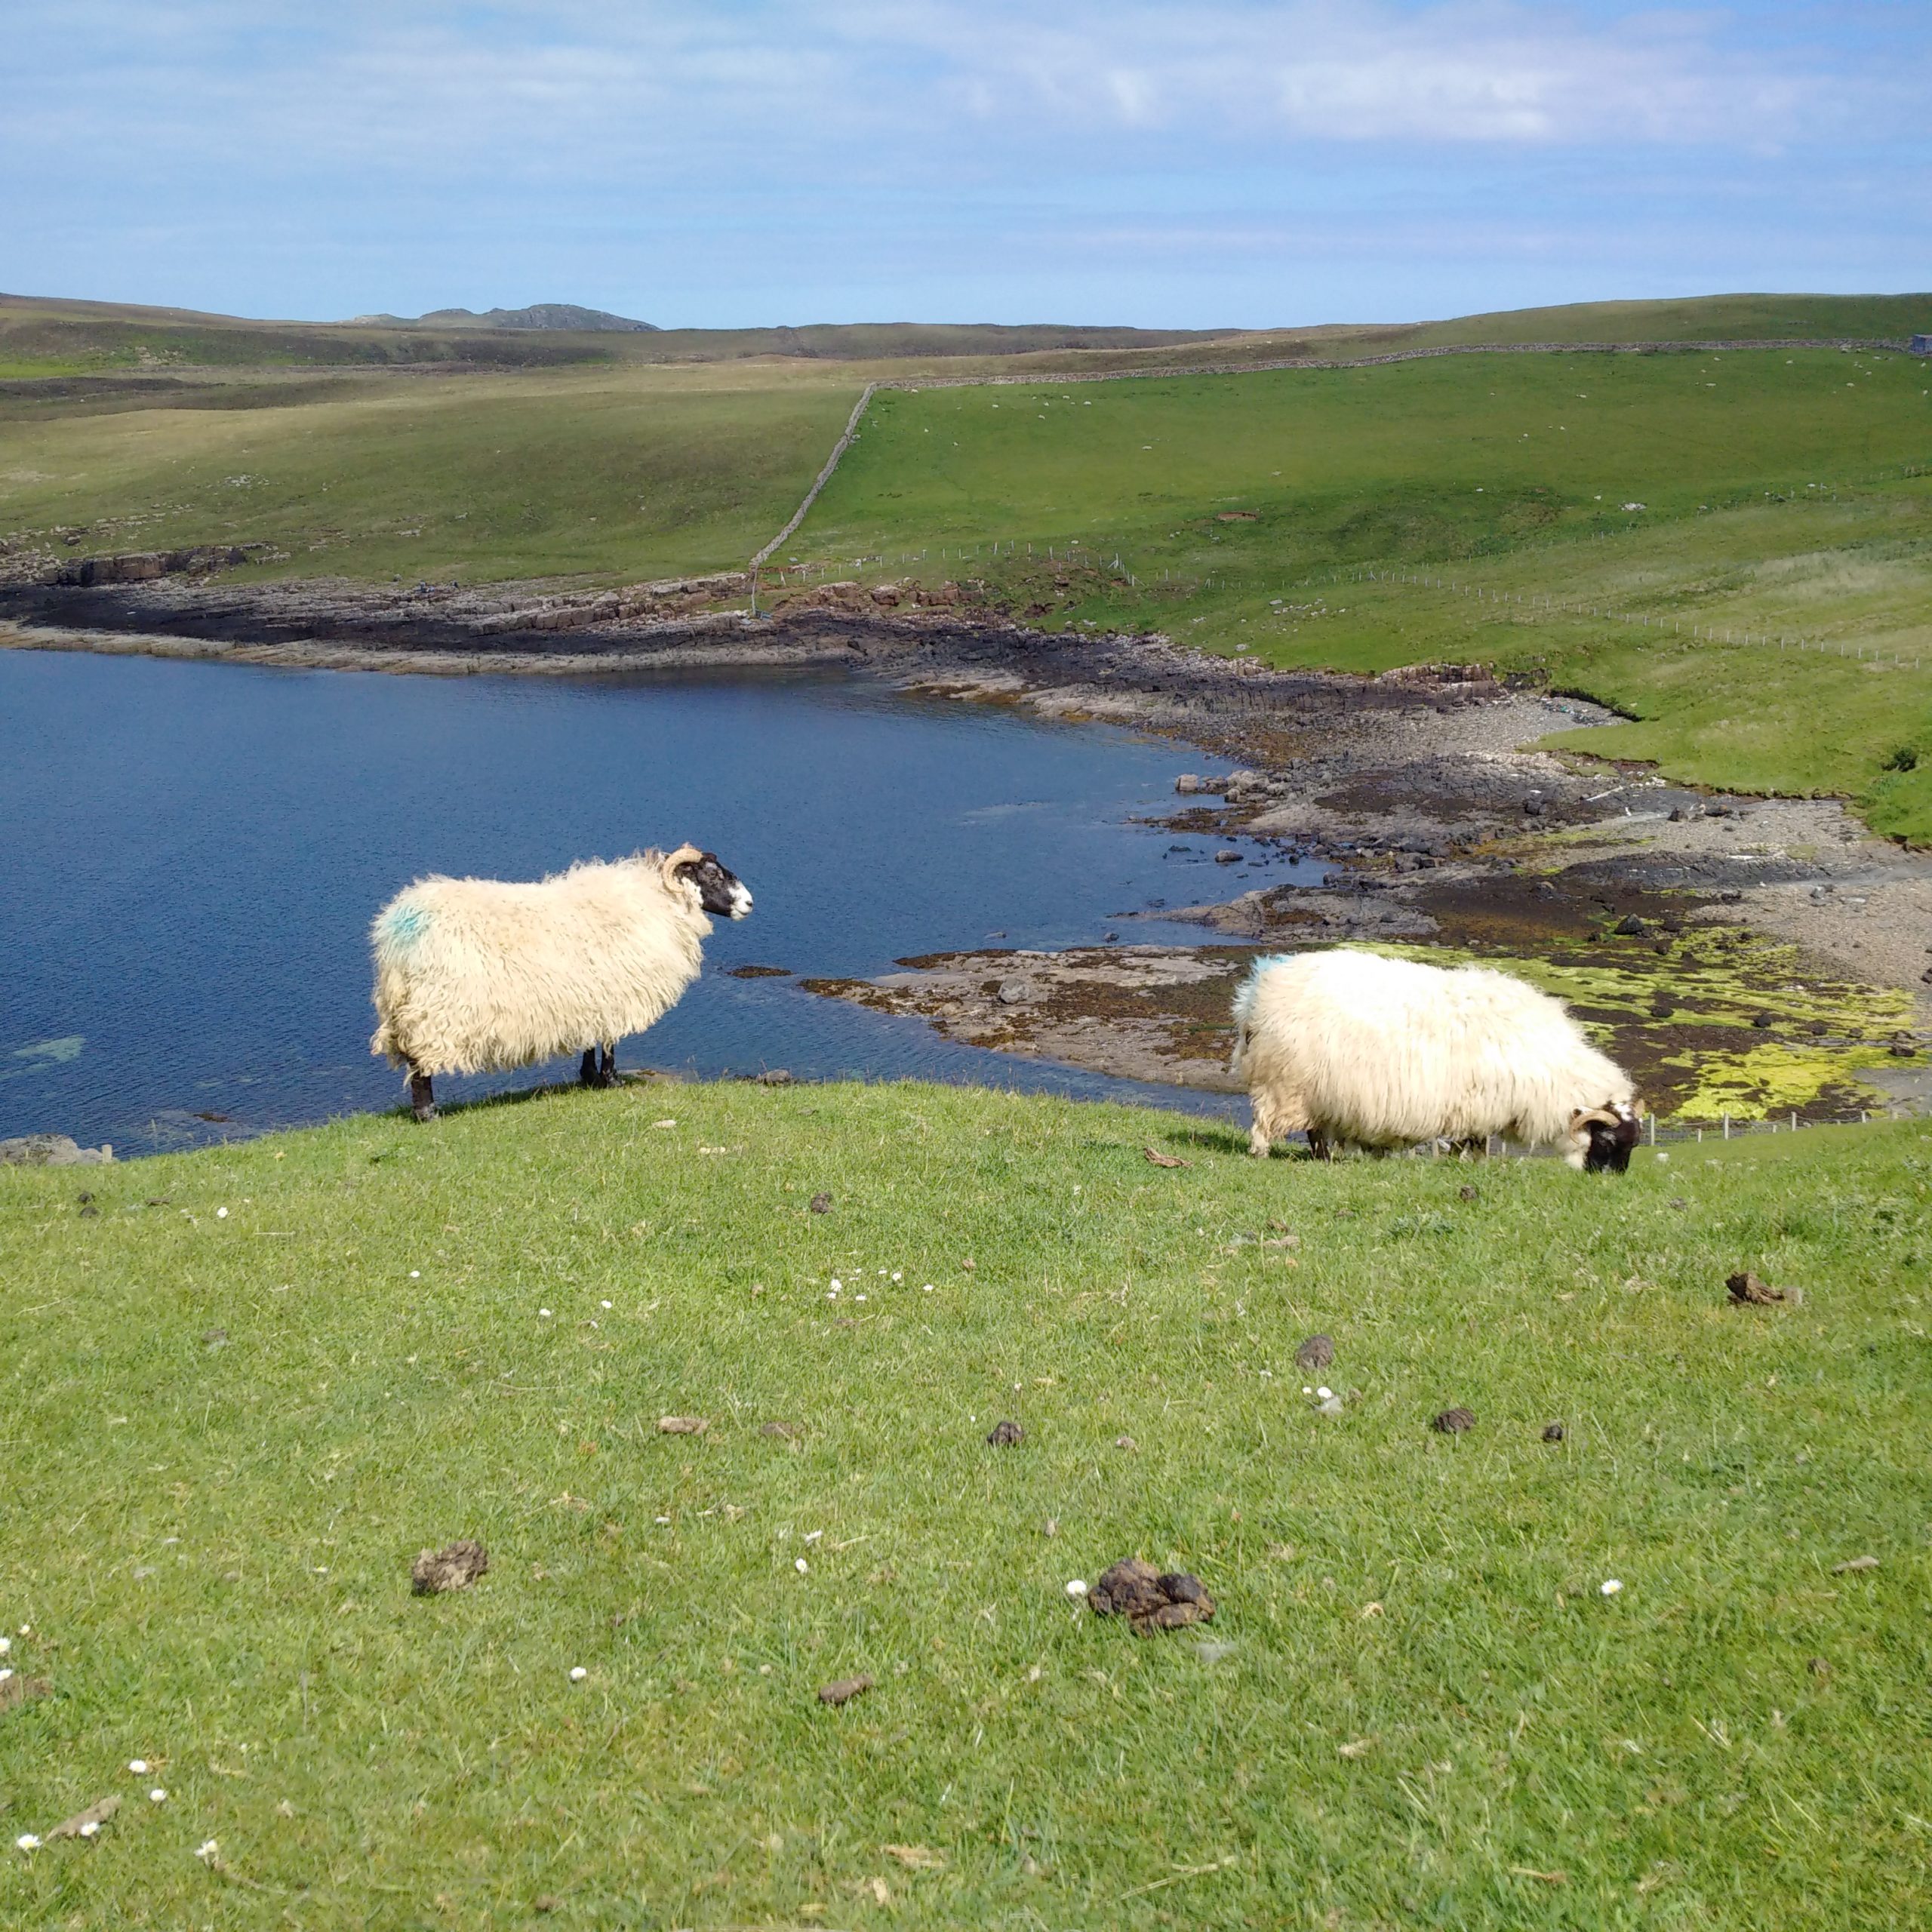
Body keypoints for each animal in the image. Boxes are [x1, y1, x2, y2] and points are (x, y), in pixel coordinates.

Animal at [367, 842, 746, 1128]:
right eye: (712, 874)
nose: (749, 903)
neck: (656, 902)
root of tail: (396, 933)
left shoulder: (593, 994)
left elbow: (593, 1039)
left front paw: (589, 1077)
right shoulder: (617, 991)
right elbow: (610, 1041)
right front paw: (611, 1080)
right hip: (433, 1010)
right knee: (420, 1064)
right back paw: (427, 1114)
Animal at [1229, 946, 1638, 1167]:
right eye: (1607, 1141)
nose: (1608, 1181)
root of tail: (1258, 992)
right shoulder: (1480, 1107)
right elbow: (1472, 1143)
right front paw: (1471, 1165)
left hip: (1316, 1090)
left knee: (1315, 1130)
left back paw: (1324, 1159)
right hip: (1286, 1084)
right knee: (1270, 1124)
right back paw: (1263, 1153)